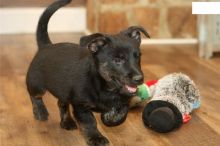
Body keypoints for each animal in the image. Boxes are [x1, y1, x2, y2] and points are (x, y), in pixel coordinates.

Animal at [25, 0, 150, 145]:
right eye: (117, 59)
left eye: (138, 57)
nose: (139, 79)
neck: (105, 86)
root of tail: (46, 46)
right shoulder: (81, 106)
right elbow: (89, 123)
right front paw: (96, 138)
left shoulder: (123, 99)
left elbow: (122, 112)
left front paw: (110, 117)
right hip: (37, 85)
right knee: (35, 96)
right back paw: (40, 111)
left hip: (63, 90)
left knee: (61, 103)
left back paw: (67, 121)